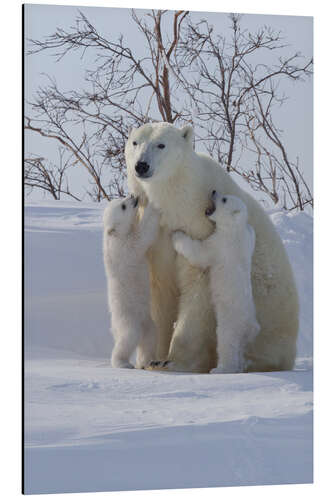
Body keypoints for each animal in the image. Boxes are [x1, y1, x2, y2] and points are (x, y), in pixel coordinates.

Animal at [103, 195, 159, 368]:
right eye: (123, 206)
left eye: (121, 199)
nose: (133, 197)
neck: (114, 235)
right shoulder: (124, 247)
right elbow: (141, 237)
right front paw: (153, 205)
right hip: (127, 317)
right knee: (128, 337)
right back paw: (122, 363)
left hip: (146, 319)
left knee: (150, 336)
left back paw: (147, 361)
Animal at [172, 193, 260, 374]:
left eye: (224, 199)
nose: (213, 192)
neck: (234, 229)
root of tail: (250, 326)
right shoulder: (247, 237)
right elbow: (252, 232)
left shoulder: (219, 244)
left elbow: (200, 253)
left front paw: (176, 235)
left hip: (231, 320)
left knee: (227, 341)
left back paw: (221, 369)